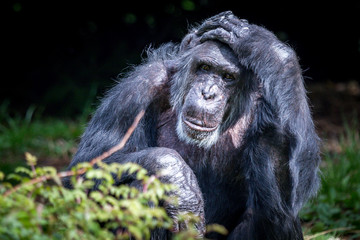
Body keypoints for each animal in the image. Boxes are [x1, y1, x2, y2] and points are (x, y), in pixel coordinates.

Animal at [65, 11, 320, 240]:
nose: (208, 93)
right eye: (204, 68)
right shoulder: (136, 90)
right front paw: (177, 178)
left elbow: (295, 191)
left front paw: (263, 45)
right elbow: (84, 171)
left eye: (228, 77)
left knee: (275, 213)